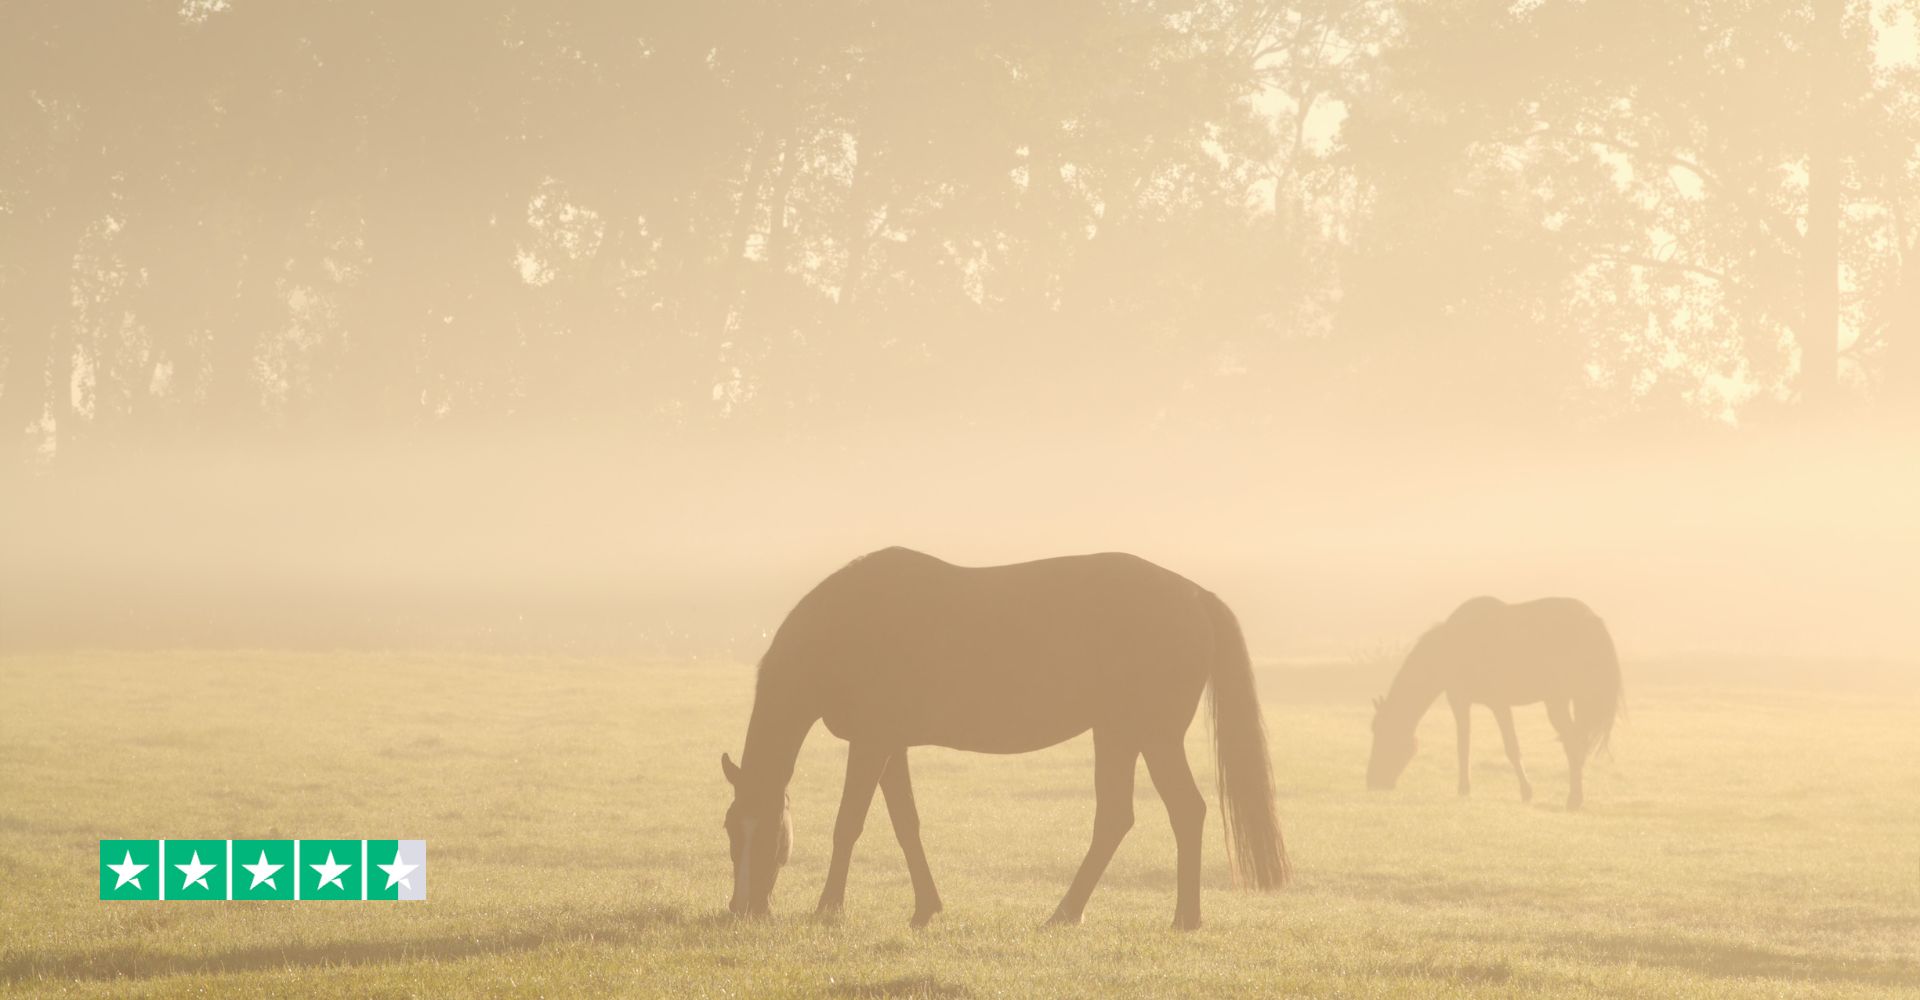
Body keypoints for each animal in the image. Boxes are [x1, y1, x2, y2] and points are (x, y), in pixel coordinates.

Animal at [720, 547, 1289, 930]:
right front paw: (926, 908)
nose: (743, 907)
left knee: (1184, 811)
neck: (845, 628)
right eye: (729, 829)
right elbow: (906, 824)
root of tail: (1195, 595)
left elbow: (848, 824)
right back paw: (1069, 913)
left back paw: (1178, 917)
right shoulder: (891, 746)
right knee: (1118, 818)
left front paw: (828, 908)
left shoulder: (871, 742)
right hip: (1119, 732)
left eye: (771, 833)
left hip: (1153, 734)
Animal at [1366, 596, 1621, 809]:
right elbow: (1473, 746)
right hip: (1571, 701)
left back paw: (1574, 799)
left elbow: (1494, 747)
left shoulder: (1481, 703)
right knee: (1578, 744)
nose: (1372, 781)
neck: (1451, 647)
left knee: (1574, 744)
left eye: (1384, 733)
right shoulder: (1476, 703)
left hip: (1560, 702)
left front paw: (1518, 791)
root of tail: (1593, 621)